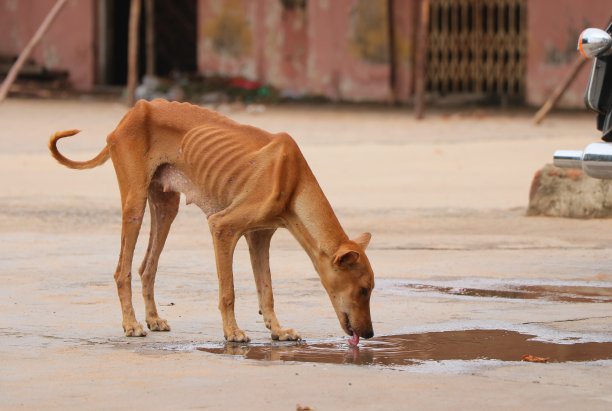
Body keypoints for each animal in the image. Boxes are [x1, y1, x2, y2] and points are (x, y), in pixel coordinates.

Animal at [49, 100, 372, 344]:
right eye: (364, 289)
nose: (369, 334)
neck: (292, 178)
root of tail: (135, 110)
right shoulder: (222, 227)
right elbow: (228, 291)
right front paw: (232, 332)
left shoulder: (259, 237)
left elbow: (267, 291)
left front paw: (278, 330)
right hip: (134, 206)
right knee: (122, 271)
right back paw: (131, 324)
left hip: (166, 208)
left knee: (146, 268)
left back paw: (152, 319)